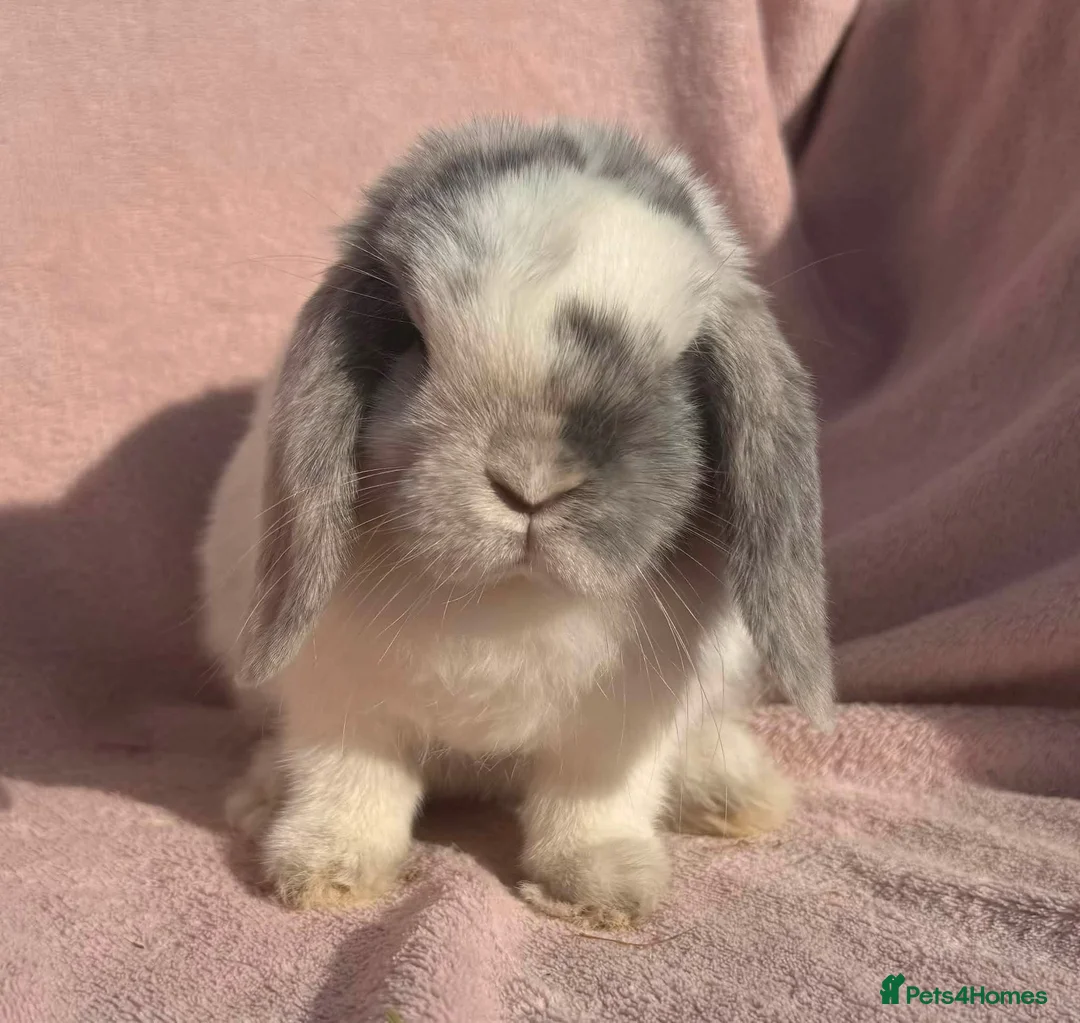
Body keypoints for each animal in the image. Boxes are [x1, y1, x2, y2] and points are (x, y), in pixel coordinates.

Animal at [198, 118, 833, 927]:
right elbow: (350, 785)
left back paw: (733, 794)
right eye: (411, 339)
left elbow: (593, 803)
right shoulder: (335, 698)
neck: (507, 599)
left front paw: (603, 889)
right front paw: (325, 873)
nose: (532, 483)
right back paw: (260, 798)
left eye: (684, 366)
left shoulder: (618, 726)